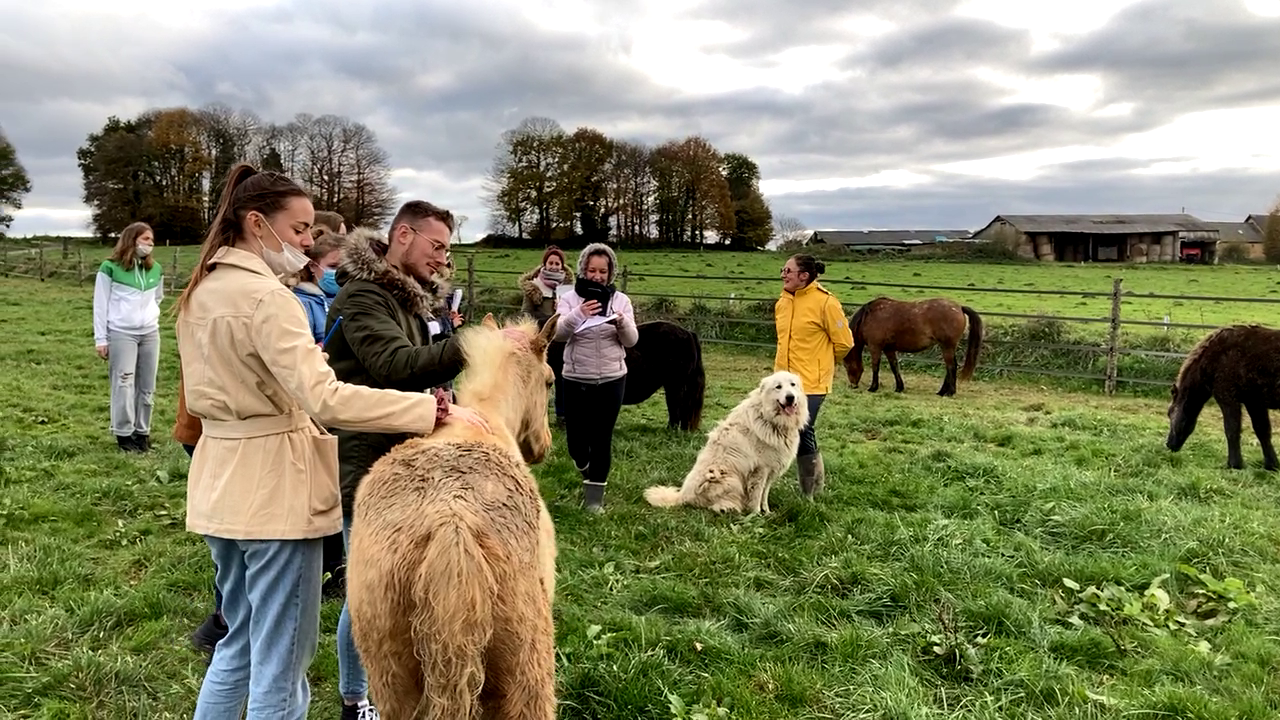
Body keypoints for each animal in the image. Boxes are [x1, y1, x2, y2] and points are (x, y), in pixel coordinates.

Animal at [640, 366, 808, 512]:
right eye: (778, 387)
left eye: (793, 385)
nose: (790, 397)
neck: (769, 418)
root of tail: (682, 496)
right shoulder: (760, 470)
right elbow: (756, 496)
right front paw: (756, 514)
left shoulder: (770, 470)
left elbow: (764, 495)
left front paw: (767, 512)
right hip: (727, 478)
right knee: (715, 505)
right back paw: (728, 509)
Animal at [844, 294, 983, 394]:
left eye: (846, 365)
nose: (852, 385)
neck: (869, 317)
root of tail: (959, 307)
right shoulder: (889, 349)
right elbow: (894, 367)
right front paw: (899, 387)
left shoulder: (875, 347)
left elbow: (875, 367)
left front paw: (873, 387)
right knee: (950, 366)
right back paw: (942, 391)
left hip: (947, 346)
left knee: (951, 366)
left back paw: (950, 392)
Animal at [1167, 324, 1274, 471]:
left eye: (1169, 414)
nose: (1169, 445)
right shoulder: (1254, 402)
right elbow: (1263, 430)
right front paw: (1271, 465)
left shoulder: (1228, 398)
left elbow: (1232, 429)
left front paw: (1234, 464)